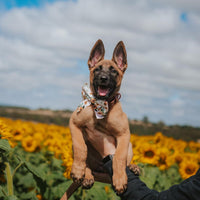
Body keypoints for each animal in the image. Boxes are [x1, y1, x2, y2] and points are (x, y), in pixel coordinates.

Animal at [69, 39, 139, 195]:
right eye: (97, 69)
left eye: (114, 71)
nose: (103, 78)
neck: (101, 105)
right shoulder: (74, 123)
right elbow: (81, 147)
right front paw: (78, 170)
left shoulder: (124, 135)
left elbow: (118, 157)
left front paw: (120, 179)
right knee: (88, 163)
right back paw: (87, 175)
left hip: (130, 145)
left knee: (123, 163)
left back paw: (133, 168)